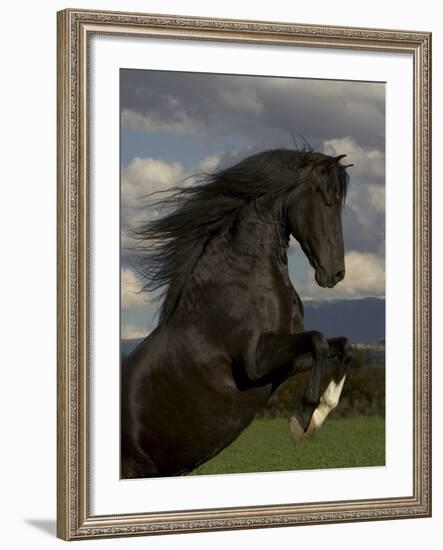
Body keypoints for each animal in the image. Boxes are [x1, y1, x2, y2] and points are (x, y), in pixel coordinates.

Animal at [120, 148, 354, 478]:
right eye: (327, 201)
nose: (336, 273)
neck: (242, 280)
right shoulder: (255, 362)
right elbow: (319, 341)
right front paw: (303, 421)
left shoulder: (288, 362)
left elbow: (342, 346)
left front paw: (318, 414)